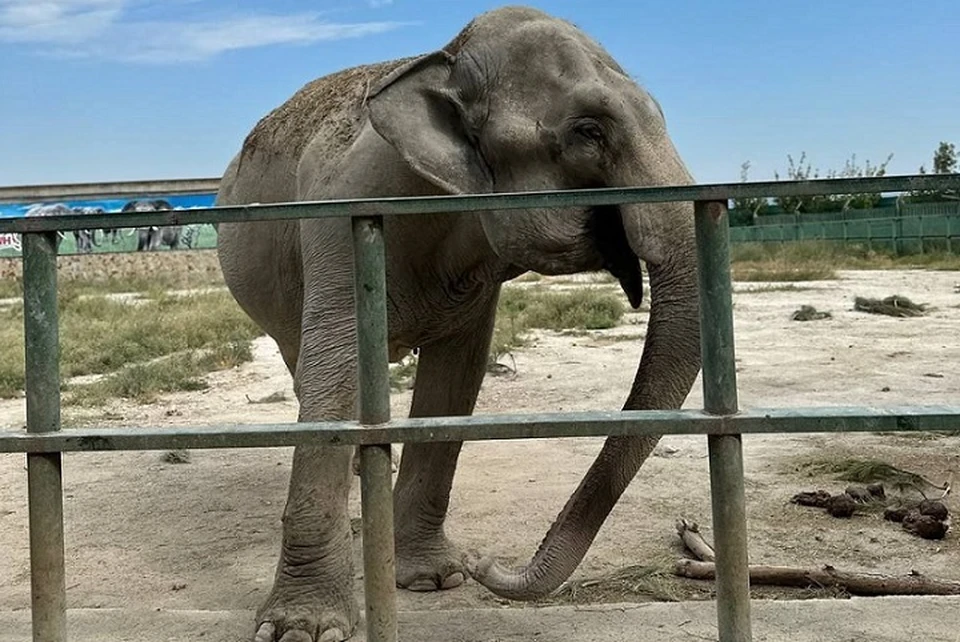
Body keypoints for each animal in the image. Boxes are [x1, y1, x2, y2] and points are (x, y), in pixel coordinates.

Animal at [216, 6, 696, 640]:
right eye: (588, 131)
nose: (485, 563)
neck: (443, 60)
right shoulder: (340, 218)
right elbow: (332, 374)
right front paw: (302, 630)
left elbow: (456, 379)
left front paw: (435, 581)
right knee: (309, 372)